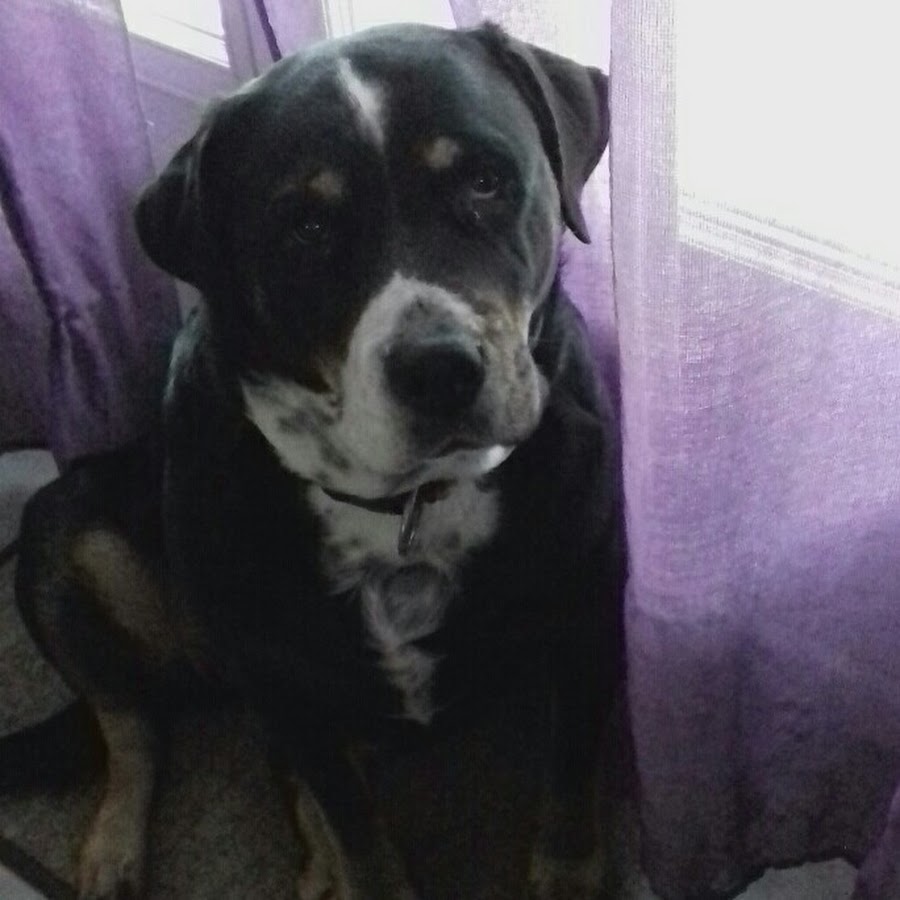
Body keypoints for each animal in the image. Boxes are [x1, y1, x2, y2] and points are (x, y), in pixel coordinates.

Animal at [6, 22, 621, 900]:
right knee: (132, 723)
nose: (440, 369)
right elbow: (355, 826)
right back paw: (116, 853)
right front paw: (353, 862)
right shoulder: (285, 684)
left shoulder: (586, 608)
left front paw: (569, 875)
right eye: (306, 227)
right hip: (65, 530)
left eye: (484, 181)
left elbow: (569, 781)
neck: (403, 507)